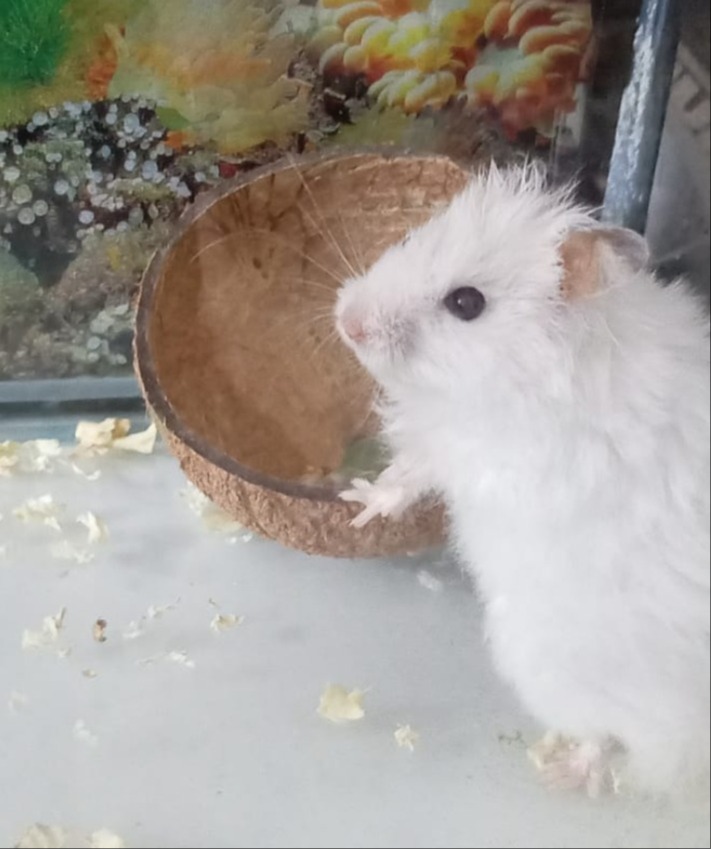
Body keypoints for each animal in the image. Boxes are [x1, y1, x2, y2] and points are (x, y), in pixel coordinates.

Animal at [335, 164, 710, 796]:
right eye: (410, 236)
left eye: (466, 303)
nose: (347, 322)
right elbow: (405, 470)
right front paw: (354, 505)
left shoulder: (476, 454)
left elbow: (418, 471)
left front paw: (361, 506)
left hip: (555, 667)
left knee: (613, 739)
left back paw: (561, 771)